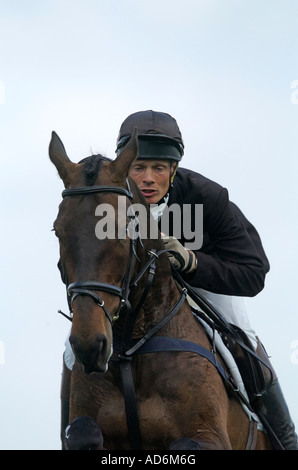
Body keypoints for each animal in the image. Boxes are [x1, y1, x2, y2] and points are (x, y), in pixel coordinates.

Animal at [49, 129, 272, 452]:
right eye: (58, 231)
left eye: (124, 229)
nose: (90, 346)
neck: (131, 346)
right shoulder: (85, 424)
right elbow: (84, 433)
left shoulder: (210, 435)